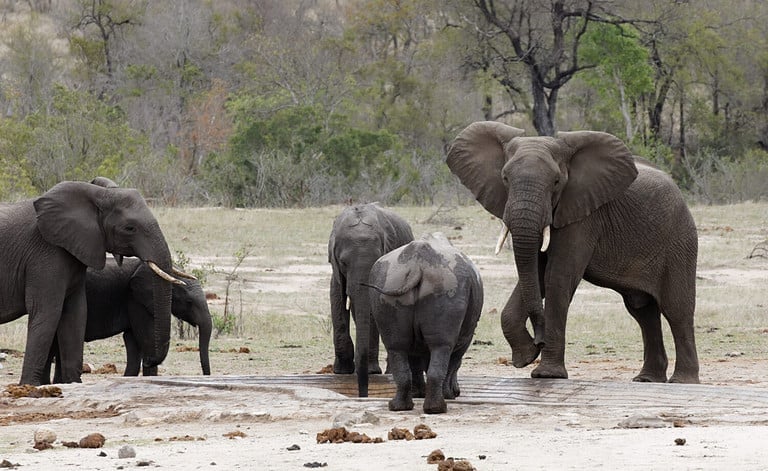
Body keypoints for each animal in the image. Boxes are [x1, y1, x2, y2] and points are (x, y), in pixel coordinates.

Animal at [0, 180, 186, 386]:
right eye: (130, 228)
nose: (150, 360)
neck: (97, 193)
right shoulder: (45, 253)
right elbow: (47, 312)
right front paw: (30, 387)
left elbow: (76, 313)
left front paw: (73, 384)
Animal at [328, 203, 414, 397]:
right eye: (343, 262)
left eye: (378, 259)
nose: (363, 394)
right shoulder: (335, 270)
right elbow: (337, 298)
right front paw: (342, 371)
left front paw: (371, 372)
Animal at [365, 232, 483, 414]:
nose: (457, 392)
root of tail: (417, 265)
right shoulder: (467, 335)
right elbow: (455, 361)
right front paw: (450, 394)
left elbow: (416, 361)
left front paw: (418, 394)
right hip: (447, 284)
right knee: (442, 346)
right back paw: (438, 408)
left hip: (390, 281)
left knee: (397, 346)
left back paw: (398, 407)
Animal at [446, 121, 699, 384]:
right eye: (505, 178)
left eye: (557, 182)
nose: (538, 340)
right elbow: (536, 275)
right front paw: (525, 357)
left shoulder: (584, 215)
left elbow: (557, 277)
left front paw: (547, 374)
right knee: (642, 311)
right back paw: (647, 379)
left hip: (679, 241)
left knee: (676, 309)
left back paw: (683, 381)